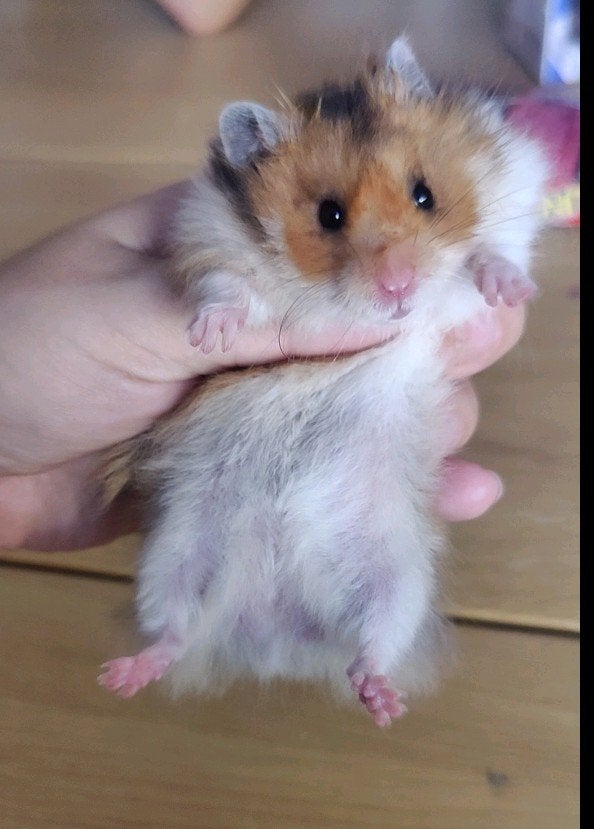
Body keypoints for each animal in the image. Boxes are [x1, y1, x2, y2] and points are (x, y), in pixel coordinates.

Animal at [98, 38, 548, 727]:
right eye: (329, 214)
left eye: (425, 195)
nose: (398, 287)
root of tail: (274, 635)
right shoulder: (210, 239)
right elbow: (228, 286)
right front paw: (211, 335)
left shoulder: (509, 196)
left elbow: (492, 251)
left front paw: (510, 291)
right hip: (174, 555)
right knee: (174, 631)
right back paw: (120, 677)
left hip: (396, 574)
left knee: (372, 643)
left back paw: (382, 702)